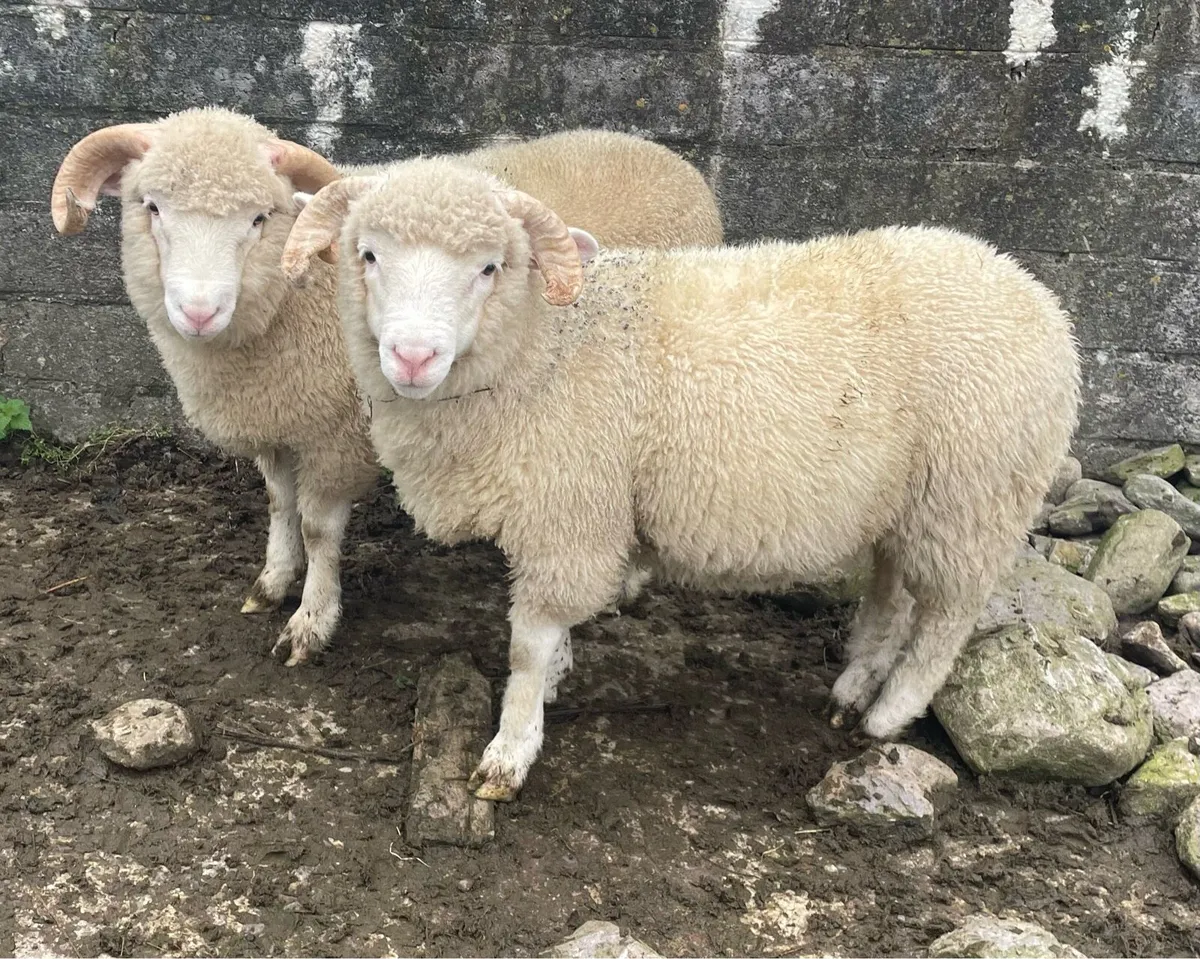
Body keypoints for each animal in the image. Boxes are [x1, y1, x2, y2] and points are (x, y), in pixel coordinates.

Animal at [50, 108, 724, 666]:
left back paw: (625, 585)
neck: (290, 302)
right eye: (151, 207)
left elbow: (319, 529)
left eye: (260, 218)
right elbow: (278, 504)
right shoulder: (278, 423)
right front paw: (272, 580)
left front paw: (311, 621)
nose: (197, 311)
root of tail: (672, 159)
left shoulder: (336, 437)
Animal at [280, 158, 1082, 801]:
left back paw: (889, 713)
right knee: (892, 596)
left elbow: (526, 646)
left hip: (972, 496)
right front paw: (559, 674)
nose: (413, 357)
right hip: (905, 503)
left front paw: (511, 748)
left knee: (947, 616)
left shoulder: (568, 515)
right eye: (367, 254)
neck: (543, 348)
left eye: (489, 267)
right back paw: (854, 687)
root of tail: (1036, 295)